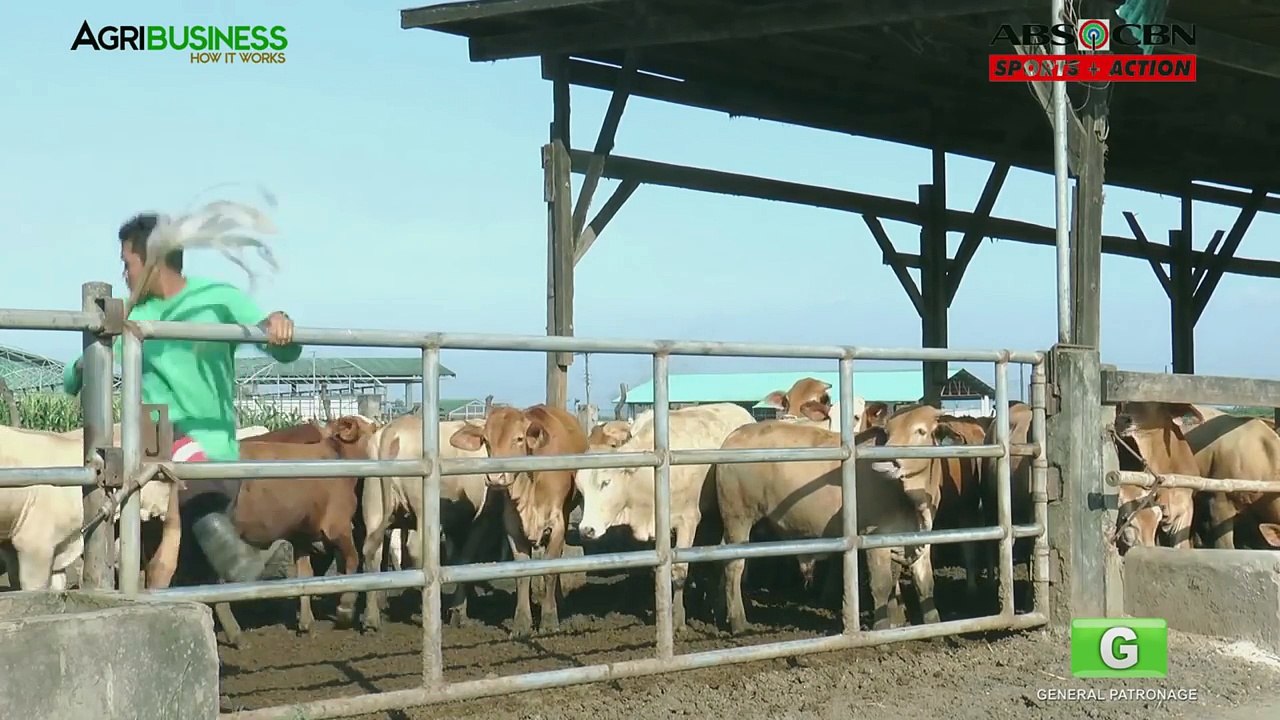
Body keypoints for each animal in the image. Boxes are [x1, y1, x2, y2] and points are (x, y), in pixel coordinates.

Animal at [361, 414, 499, 632]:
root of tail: (395, 427)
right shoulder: (479, 519)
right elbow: (466, 557)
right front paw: (459, 613)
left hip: (373, 504)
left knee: (372, 552)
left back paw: (371, 619)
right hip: (422, 509)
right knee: (415, 549)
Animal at [449, 404, 586, 637]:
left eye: (519, 439)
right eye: (486, 440)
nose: (496, 478)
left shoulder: (557, 523)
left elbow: (551, 570)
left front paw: (549, 620)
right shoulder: (513, 526)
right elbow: (522, 574)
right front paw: (522, 623)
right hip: (490, 508)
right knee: (468, 551)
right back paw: (458, 612)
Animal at [575, 403, 756, 631]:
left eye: (605, 482)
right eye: (580, 489)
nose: (586, 529)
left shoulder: (688, 520)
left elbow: (679, 571)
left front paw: (677, 618)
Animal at [716, 420, 938, 633]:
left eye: (921, 431)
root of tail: (736, 434)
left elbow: (921, 581)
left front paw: (927, 623)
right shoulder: (875, 535)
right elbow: (882, 584)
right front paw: (882, 627)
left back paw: (722, 613)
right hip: (738, 517)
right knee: (734, 564)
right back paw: (738, 622)